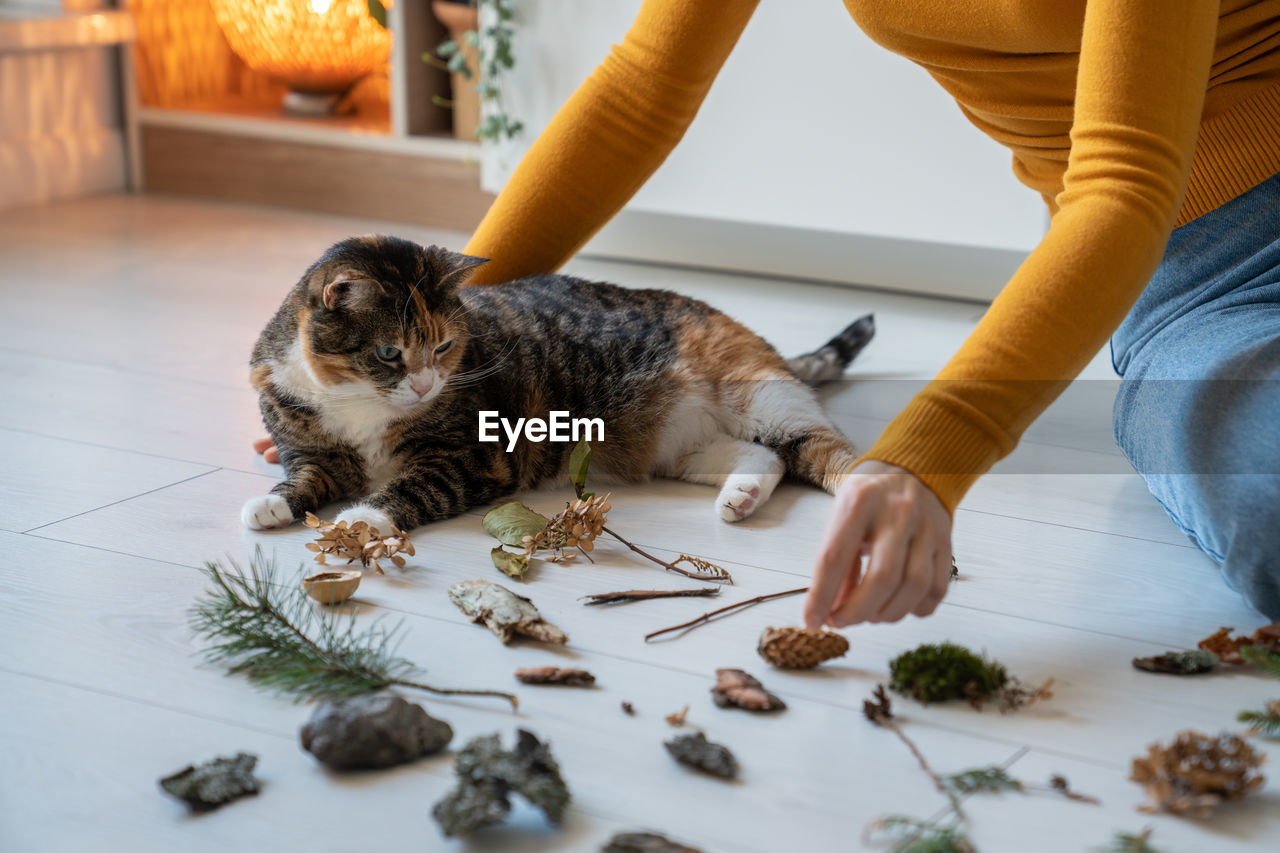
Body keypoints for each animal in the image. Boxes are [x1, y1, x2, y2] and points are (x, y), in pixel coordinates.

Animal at [240, 234, 875, 532]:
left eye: (443, 347)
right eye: (389, 352)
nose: (423, 387)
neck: (358, 404)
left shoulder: (472, 460)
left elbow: (412, 490)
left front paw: (361, 521)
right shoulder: (313, 452)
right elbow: (306, 478)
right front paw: (271, 506)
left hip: (761, 397)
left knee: (822, 452)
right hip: (682, 447)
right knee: (764, 458)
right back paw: (739, 499)